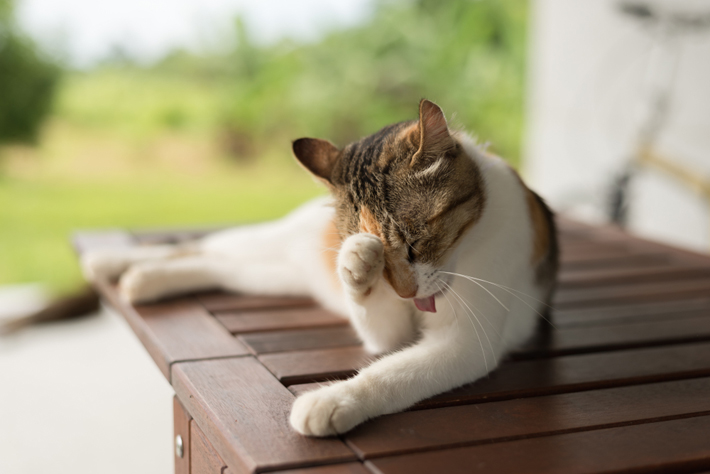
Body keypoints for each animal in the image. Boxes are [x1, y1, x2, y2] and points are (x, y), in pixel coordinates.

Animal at [80, 99, 560, 436]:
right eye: (387, 254)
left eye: (413, 243)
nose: (405, 293)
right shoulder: (388, 325)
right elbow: (373, 318)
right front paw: (356, 261)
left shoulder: (463, 343)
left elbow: (391, 371)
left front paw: (333, 401)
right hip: (266, 245)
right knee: (205, 245)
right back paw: (113, 261)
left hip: (268, 277)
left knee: (214, 264)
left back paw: (143, 280)